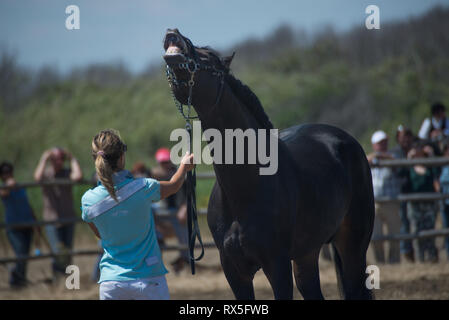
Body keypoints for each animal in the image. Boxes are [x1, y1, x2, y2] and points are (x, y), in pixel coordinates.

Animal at [163, 28, 372, 298]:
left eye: (209, 56)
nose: (173, 33)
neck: (247, 184)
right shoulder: (234, 271)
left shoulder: (277, 265)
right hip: (307, 253)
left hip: (353, 246)